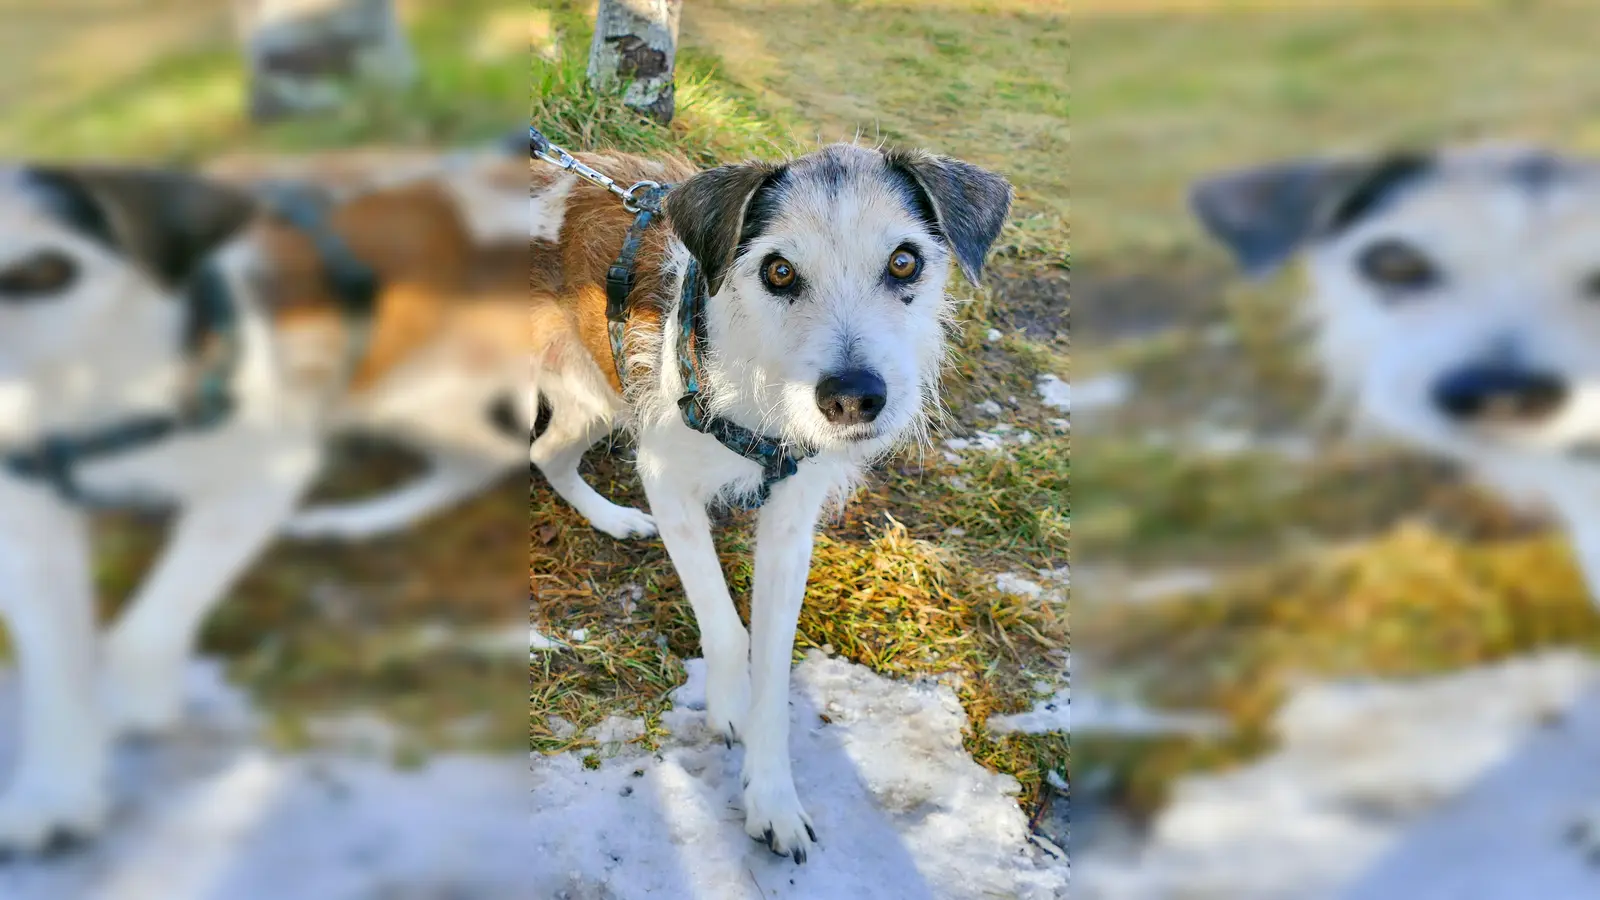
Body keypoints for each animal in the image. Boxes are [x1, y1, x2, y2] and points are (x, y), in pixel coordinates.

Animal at [0, 143, 528, 851]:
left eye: (44, 271)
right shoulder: (27, 531)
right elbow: (57, 670)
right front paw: (56, 790)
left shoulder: (260, 479)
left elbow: (151, 620)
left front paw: (138, 696)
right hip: (408, 399)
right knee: (478, 456)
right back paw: (356, 521)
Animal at [537, 143, 1011, 858]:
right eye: (779, 270)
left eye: (905, 261)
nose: (852, 398)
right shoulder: (667, 480)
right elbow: (726, 627)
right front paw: (728, 705)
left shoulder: (791, 523)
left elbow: (774, 662)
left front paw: (772, 796)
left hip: (594, 395)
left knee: (547, 455)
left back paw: (612, 519)